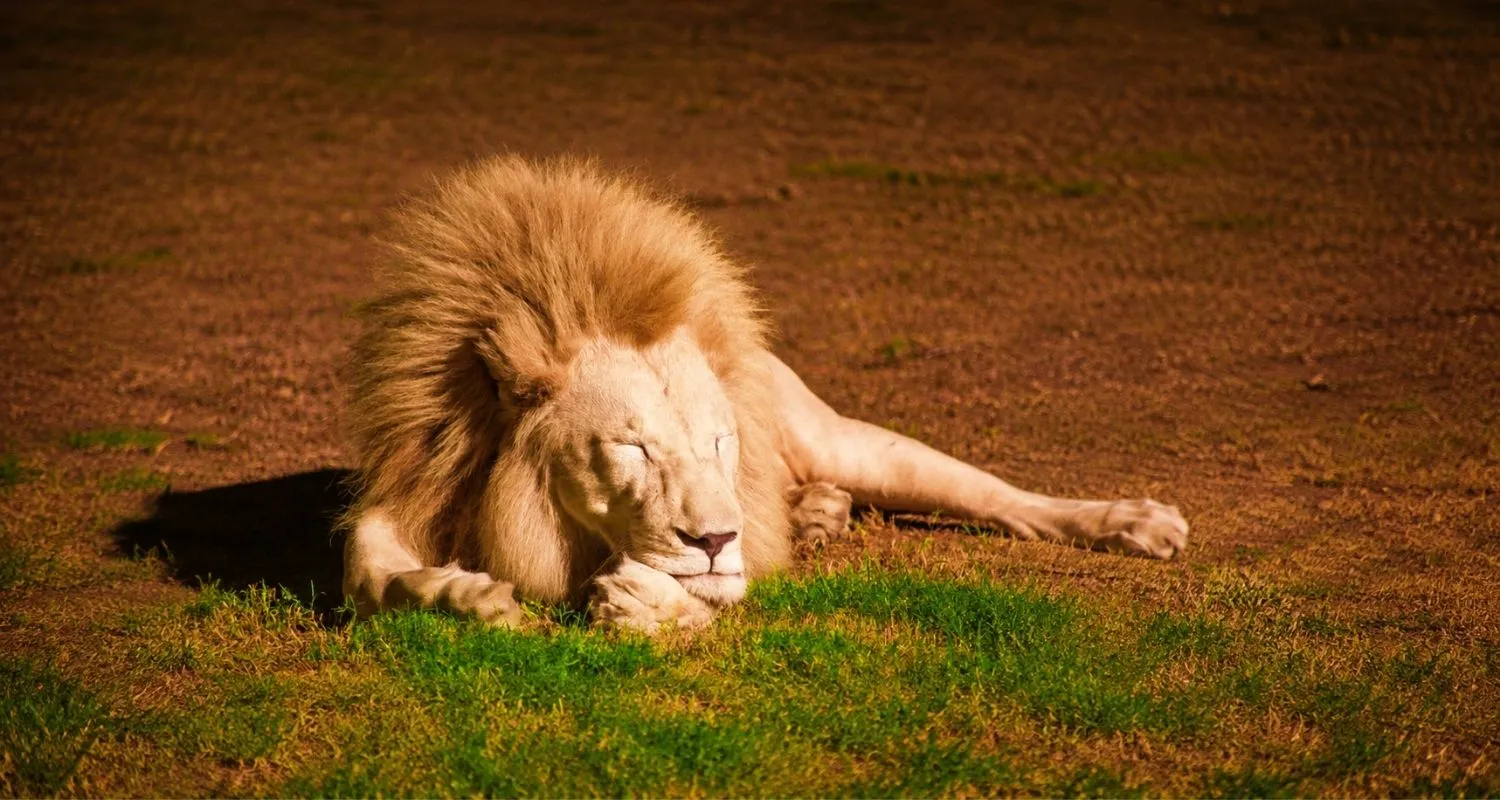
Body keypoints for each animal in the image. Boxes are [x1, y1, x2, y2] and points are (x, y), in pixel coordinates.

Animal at [341, 157, 1188, 632]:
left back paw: (1133, 522)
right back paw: (816, 515)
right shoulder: (415, 484)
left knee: (998, 496)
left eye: (719, 441)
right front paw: (463, 597)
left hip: (847, 441)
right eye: (631, 446)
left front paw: (650, 607)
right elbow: (368, 572)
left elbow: (714, 592)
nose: (716, 538)